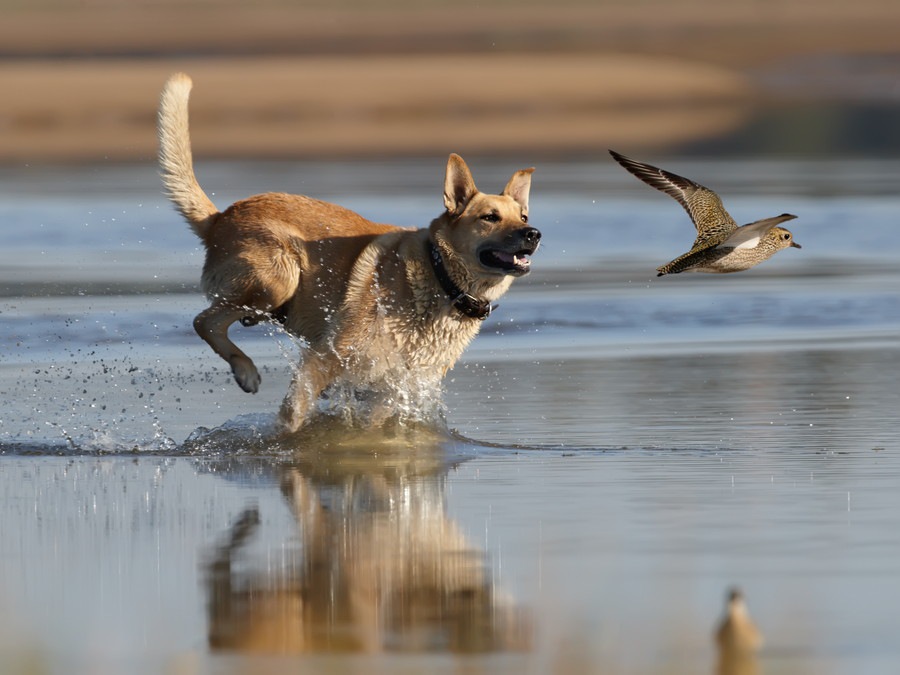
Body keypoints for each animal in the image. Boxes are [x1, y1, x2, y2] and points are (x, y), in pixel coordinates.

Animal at [156, 74, 540, 434]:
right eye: (490, 217)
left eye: (522, 217)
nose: (534, 234)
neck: (441, 278)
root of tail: (219, 218)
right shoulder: (325, 358)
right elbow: (292, 418)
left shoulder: (393, 387)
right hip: (279, 278)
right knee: (204, 320)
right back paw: (245, 370)